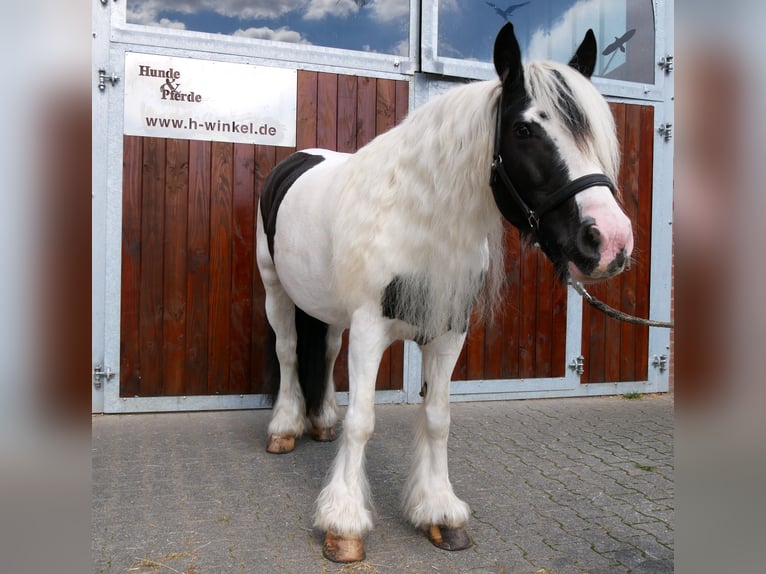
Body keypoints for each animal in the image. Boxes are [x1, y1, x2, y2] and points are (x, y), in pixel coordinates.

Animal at [255, 23, 633, 563]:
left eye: (596, 134)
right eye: (524, 130)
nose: (611, 241)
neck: (417, 220)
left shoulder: (450, 330)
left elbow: (437, 418)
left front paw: (440, 512)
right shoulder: (370, 328)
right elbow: (363, 420)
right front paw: (343, 523)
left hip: (328, 308)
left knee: (323, 354)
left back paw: (321, 420)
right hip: (276, 290)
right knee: (289, 352)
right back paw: (284, 428)